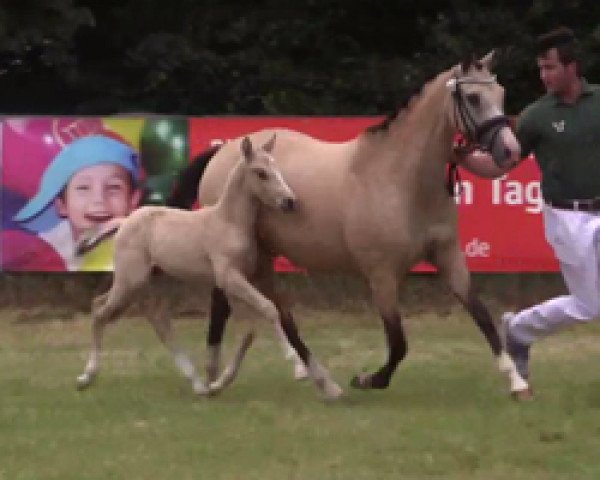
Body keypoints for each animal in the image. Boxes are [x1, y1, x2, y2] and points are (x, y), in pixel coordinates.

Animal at [77, 135, 314, 394]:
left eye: (277, 167)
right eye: (261, 173)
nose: (289, 202)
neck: (229, 222)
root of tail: (125, 221)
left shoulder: (239, 281)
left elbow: (252, 325)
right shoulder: (229, 277)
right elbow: (268, 308)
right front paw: (296, 364)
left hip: (160, 279)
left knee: (156, 318)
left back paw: (198, 384)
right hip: (131, 281)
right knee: (100, 311)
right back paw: (86, 376)